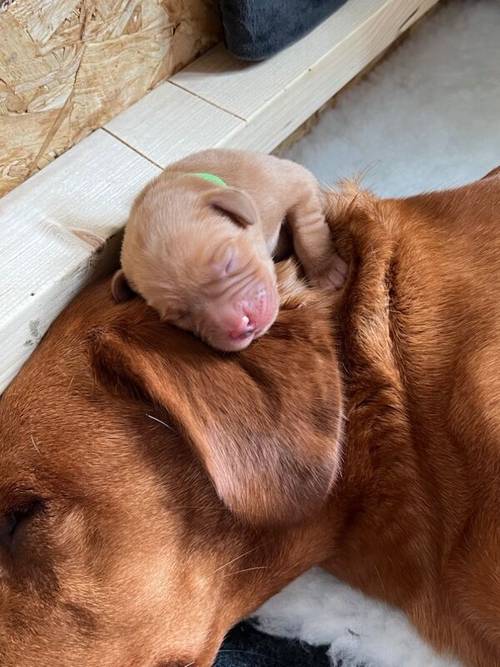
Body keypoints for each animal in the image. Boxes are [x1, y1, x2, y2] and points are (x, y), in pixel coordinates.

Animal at [112, 149, 348, 352]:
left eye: (229, 262)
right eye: (181, 316)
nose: (241, 326)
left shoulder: (296, 183)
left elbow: (308, 231)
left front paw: (327, 273)